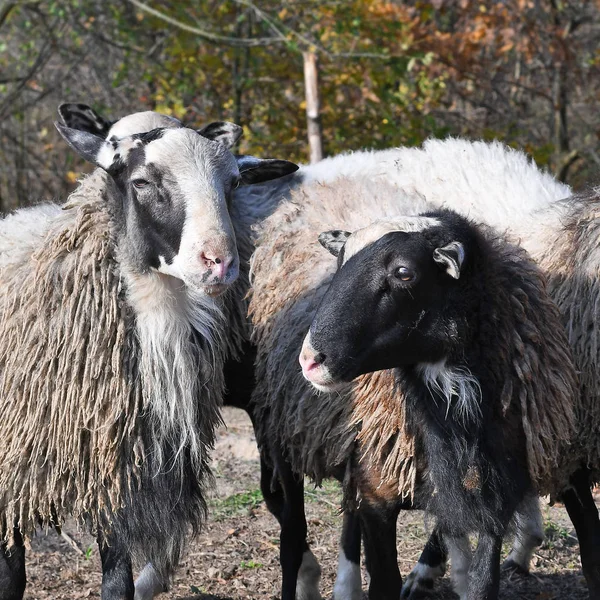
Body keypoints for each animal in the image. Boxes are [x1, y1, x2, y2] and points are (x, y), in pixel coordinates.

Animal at [0, 116, 298, 600]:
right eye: (141, 182)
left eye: (233, 183)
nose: (219, 263)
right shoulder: (14, 477)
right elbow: (11, 576)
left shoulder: (119, 470)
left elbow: (118, 583)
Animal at [245, 179, 576, 600]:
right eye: (339, 265)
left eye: (403, 272)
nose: (310, 360)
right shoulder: (378, 498)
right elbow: (384, 580)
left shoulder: (492, 499)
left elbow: (483, 584)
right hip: (286, 435)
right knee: (294, 529)